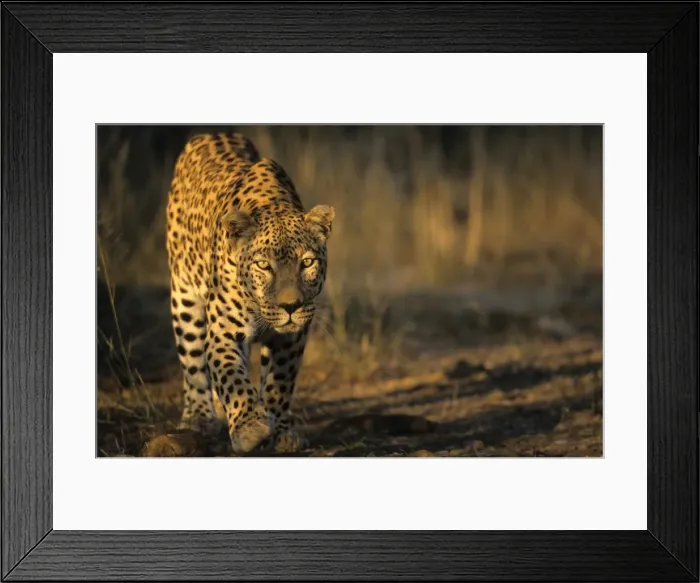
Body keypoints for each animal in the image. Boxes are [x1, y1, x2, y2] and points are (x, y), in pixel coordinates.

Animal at [165, 131, 334, 454]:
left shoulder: (291, 338)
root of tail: (209, 133)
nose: (291, 306)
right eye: (263, 265)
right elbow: (231, 377)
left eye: (307, 263)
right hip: (184, 295)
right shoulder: (223, 330)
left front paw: (280, 432)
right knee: (193, 362)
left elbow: (280, 382)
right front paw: (250, 428)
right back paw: (199, 416)